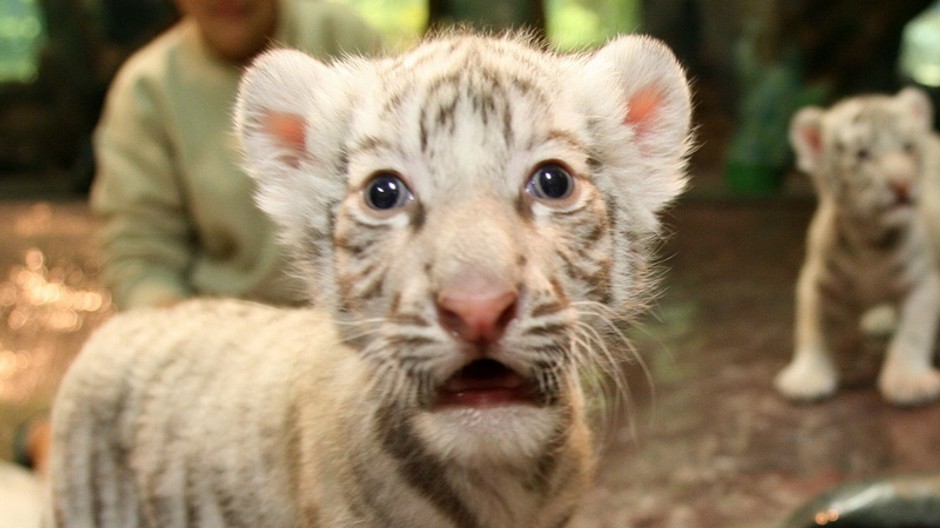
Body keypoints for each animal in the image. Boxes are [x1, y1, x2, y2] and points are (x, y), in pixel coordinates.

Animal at [775, 87, 940, 405]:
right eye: (862, 154)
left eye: (908, 147)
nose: (902, 185)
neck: (869, 241)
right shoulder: (816, 281)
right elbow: (810, 327)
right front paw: (808, 377)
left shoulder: (925, 283)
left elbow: (912, 333)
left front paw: (908, 382)